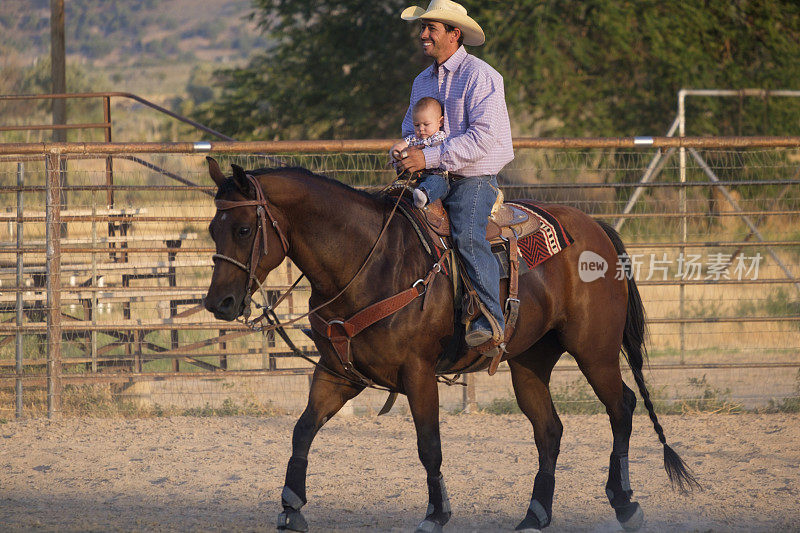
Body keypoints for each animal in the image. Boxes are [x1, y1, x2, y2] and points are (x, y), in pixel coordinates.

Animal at [203, 159, 696, 532]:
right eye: (212, 228)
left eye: (244, 229)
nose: (218, 302)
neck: (369, 261)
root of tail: (596, 229)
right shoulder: (338, 373)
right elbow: (303, 429)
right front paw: (290, 506)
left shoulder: (418, 373)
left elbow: (429, 445)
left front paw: (436, 514)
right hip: (529, 360)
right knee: (549, 429)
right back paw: (535, 515)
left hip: (594, 351)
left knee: (622, 407)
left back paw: (625, 502)